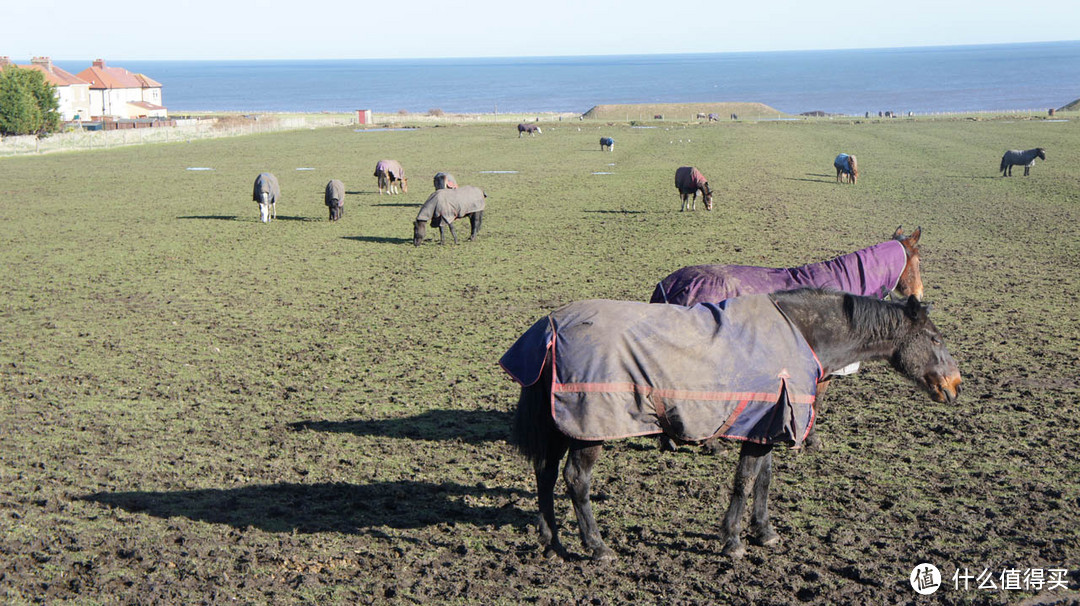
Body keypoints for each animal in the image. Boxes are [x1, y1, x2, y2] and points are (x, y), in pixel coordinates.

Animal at [503, 291, 963, 561]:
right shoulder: (760, 426)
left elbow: (764, 480)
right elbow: (744, 481)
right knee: (575, 480)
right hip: (589, 429)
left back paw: (552, 541)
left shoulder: (765, 426)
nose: (955, 386)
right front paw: (734, 540)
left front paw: (765, 531)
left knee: (545, 475)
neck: (801, 332)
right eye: (936, 339)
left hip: (563, 426)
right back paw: (596, 547)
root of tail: (551, 327)